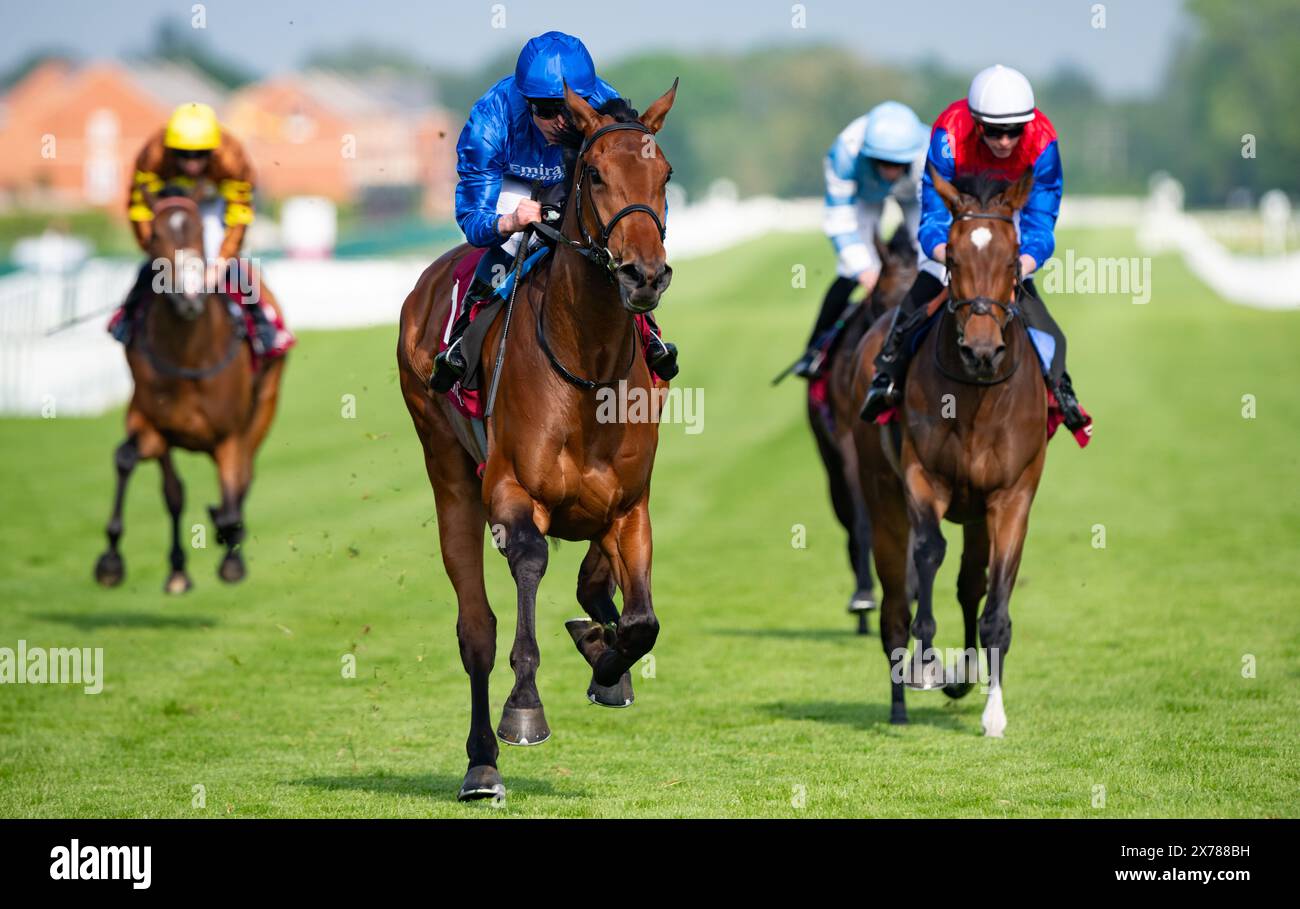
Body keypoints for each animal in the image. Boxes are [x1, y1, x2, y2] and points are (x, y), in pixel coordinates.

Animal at [94, 195, 288, 592]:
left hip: (264, 407)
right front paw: (111, 560)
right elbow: (130, 462)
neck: (187, 353)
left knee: (243, 478)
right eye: (155, 234)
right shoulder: (151, 424)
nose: (189, 296)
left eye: (198, 230)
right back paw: (180, 568)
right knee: (175, 492)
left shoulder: (230, 433)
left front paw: (231, 556)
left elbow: (232, 493)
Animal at [852, 169, 1045, 738]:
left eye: (1013, 257)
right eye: (953, 260)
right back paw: (901, 697)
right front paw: (926, 663)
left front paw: (993, 710)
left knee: (968, 584)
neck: (977, 396)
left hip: (977, 512)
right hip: (882, 493)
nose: (981, 350)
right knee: (896, 601)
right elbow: (929, 554)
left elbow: (994, 598)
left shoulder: (1010, 495)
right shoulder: (923, 477)